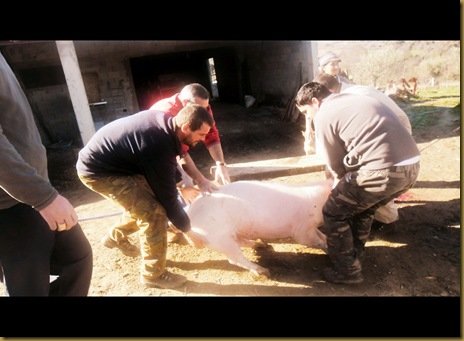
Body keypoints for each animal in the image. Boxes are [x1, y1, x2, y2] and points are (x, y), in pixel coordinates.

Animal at [183, 178, 332, 276]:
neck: (317, 203)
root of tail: (190, 214)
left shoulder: (310, 227)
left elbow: (321, 235)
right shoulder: (302, 230)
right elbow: (314, 241)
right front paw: (327, 248)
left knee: (241, 242)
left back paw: (261, 245)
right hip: (220, 239)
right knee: (235, 259)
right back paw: (263, 271)